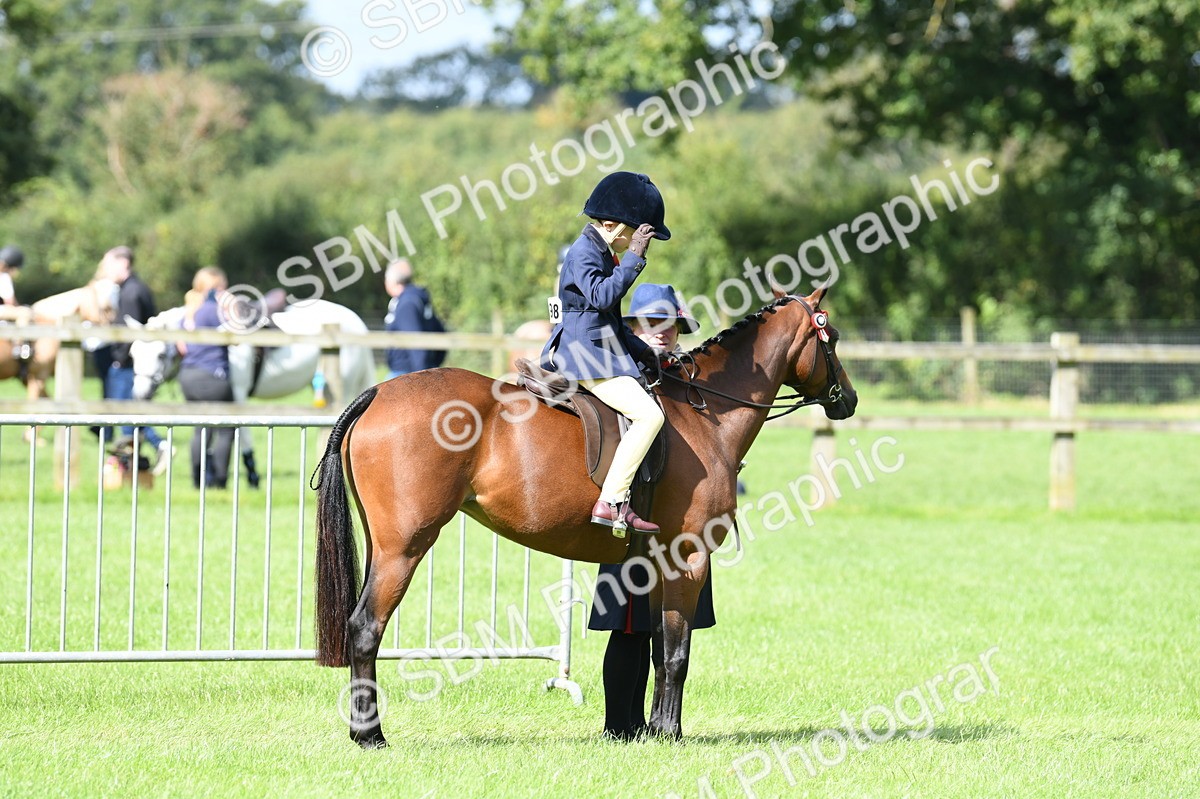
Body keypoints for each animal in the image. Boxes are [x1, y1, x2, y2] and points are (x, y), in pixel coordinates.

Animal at [311, 286, 858, 748]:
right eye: (830, 338)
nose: (848, 400)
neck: (704, 414)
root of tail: (379, 393)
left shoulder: (653, 564)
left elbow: (655, 645)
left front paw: (651, 729)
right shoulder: (688, 558)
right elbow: (677, 651)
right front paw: (671, 733)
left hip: (382, 547)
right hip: (404, 549)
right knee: (365, 627)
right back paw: (371, 735)